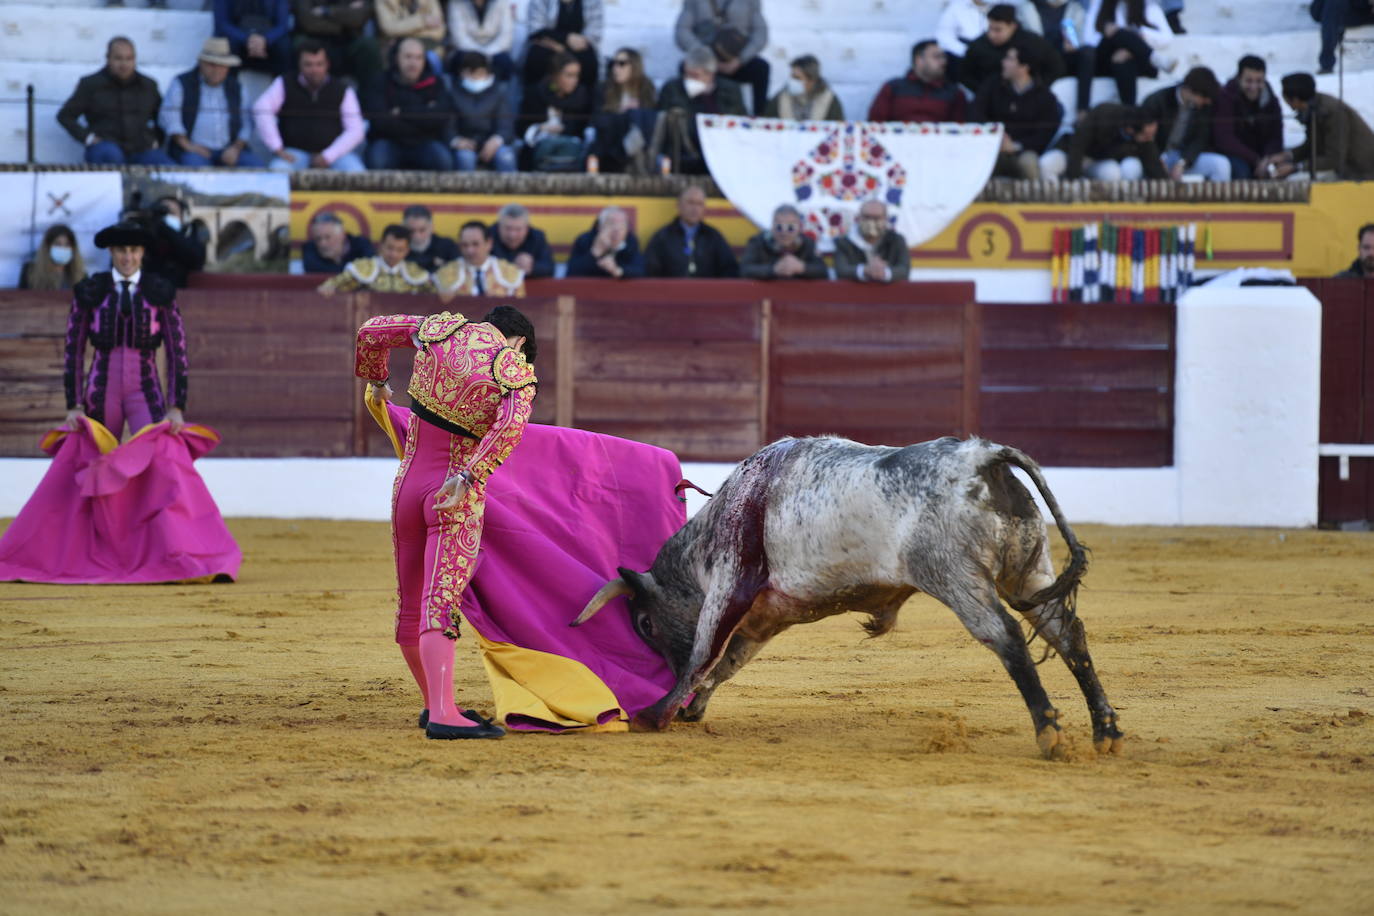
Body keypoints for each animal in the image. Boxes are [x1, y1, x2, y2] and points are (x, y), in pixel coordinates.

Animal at [574, 436, 1121, 758]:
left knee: (1005, 636)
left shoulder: (731, 580)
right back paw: (1105, 731)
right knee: (1066, 633)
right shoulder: (769, 614)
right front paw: (689, 709)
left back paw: (1050, 733)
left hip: (954, 575)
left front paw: (656, 714)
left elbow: (705, 653)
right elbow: (728, 661)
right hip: (1029, 574)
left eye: (645, 623)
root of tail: (983, 455)